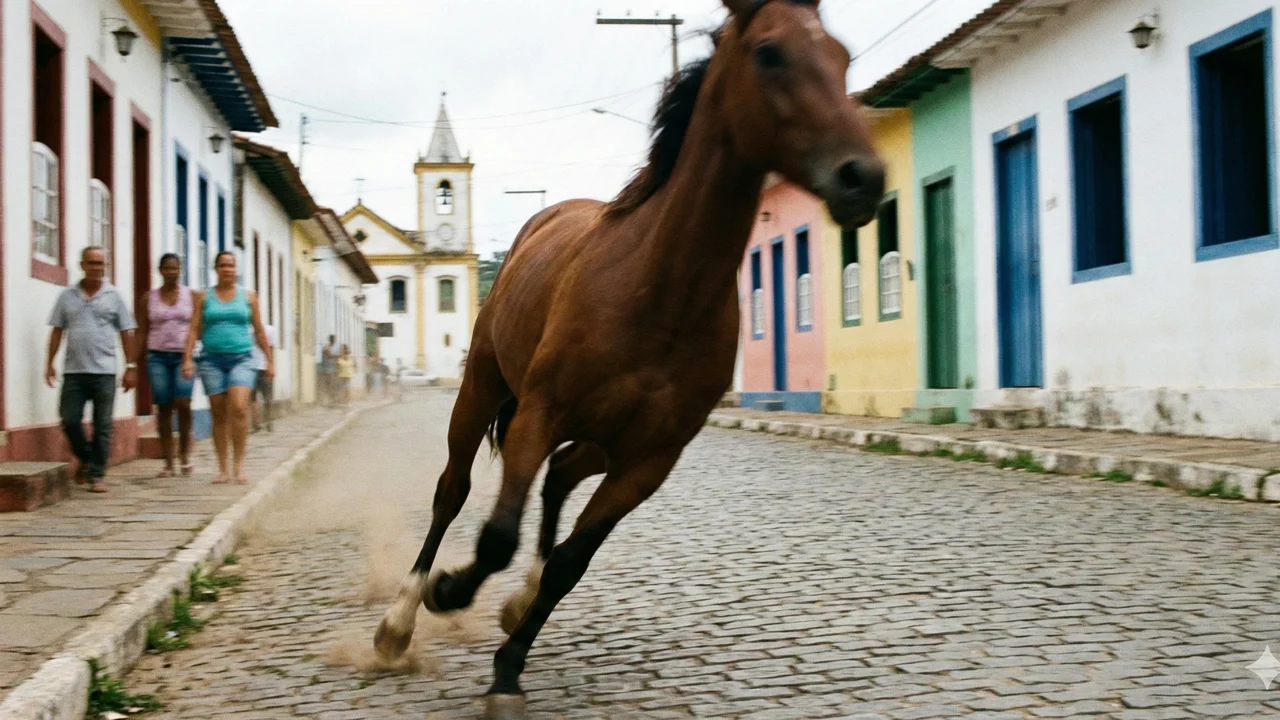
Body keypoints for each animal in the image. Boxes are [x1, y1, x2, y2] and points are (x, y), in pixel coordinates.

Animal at [373, 0, 885, 716]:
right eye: (770, 53)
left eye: (841, 57)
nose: (862, 178)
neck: (661, 290)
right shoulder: (537, 414)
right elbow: (497, 535)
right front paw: (451, 592)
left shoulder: (648, 460)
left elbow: (570, 562)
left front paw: (508, 667)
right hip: (482, 388)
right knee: (454, 492)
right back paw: (400, 620)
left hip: (600, 440)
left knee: (560, 478)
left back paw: (517, 601)